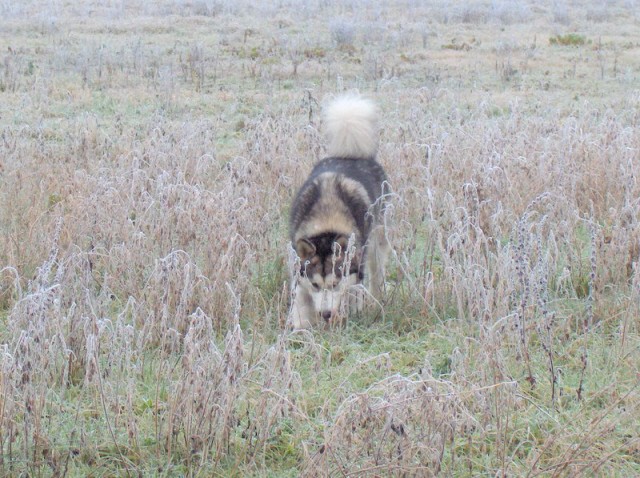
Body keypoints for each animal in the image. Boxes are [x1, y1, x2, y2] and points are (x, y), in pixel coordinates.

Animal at [288, 95, 390, 330]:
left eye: (334, 284)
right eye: (316, 285)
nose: (326, 314)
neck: (327, 216)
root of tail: (349, 155)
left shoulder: (356, 266)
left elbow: (351, 293)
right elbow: (301, 300)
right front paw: (301, 327)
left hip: (377, 241)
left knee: (376, 273)